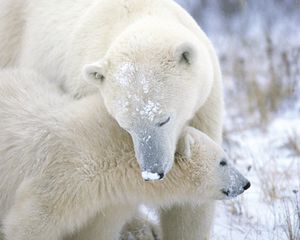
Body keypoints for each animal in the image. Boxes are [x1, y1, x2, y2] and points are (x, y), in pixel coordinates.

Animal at [0, 0, 223, 239]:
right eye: (125, 125)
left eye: (164, 119)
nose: (153, 172)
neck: (137, 15)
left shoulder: (204, 107)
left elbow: (192, 208)